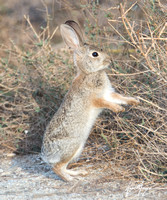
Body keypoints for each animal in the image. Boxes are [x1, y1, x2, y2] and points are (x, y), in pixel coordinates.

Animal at [40, 19, 140, 181]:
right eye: (95, 54)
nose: (110, 60)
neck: (89, 73)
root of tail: (46, 156)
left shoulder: (108, 93)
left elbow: (120, 98)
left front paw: (134, 101)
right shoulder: (94, 99)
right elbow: (106, 103)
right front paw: (118, 109)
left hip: (78, 148)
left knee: (63, 166)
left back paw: (78, 173)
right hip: (72, 146)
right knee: (57, 167)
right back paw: (70, 179)